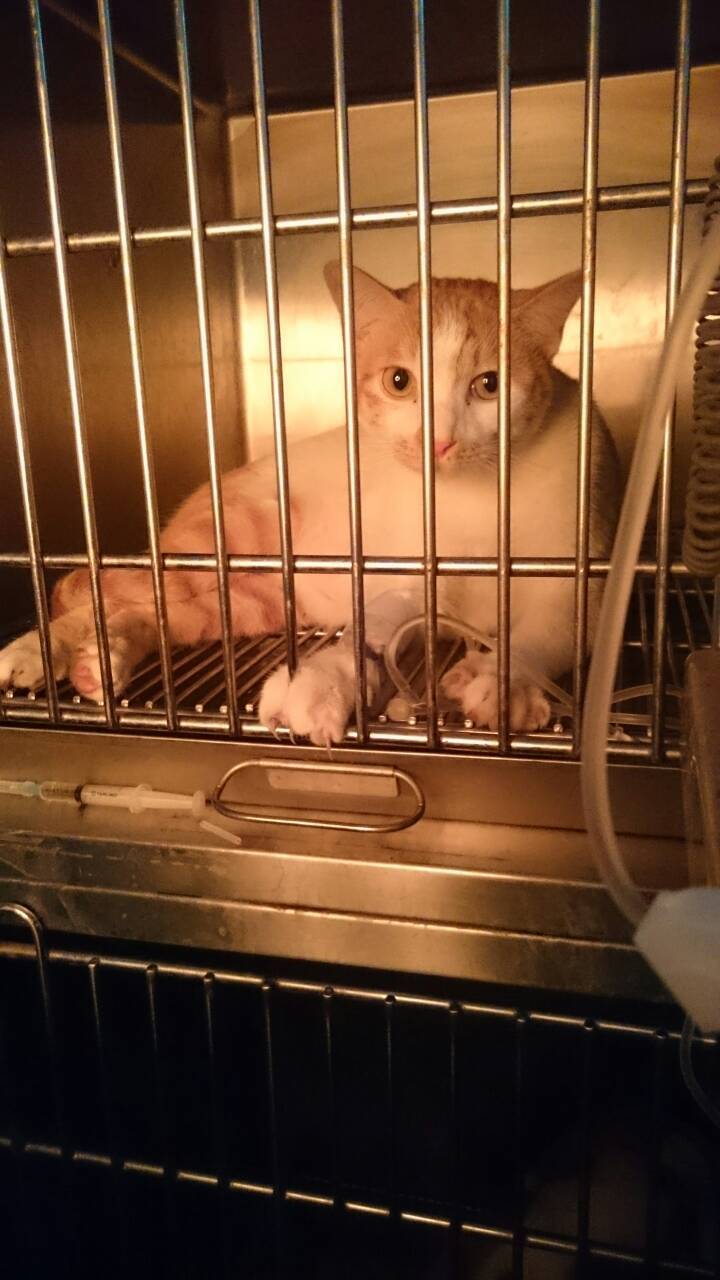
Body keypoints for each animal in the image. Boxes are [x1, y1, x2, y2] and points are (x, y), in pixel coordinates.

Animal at [0, 262, 620, 744]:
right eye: (399, 381)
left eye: (489, 386)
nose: (438, 441)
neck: (469, 498)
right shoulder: (399, 573)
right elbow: (373, 631)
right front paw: (324, 680)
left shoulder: (581, 580)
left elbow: (545, 634)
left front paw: (504, 680)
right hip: (230, 536)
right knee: (114, 594)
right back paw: (43, 649)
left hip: (252, 601)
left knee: (154, 614)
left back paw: (103, 659)